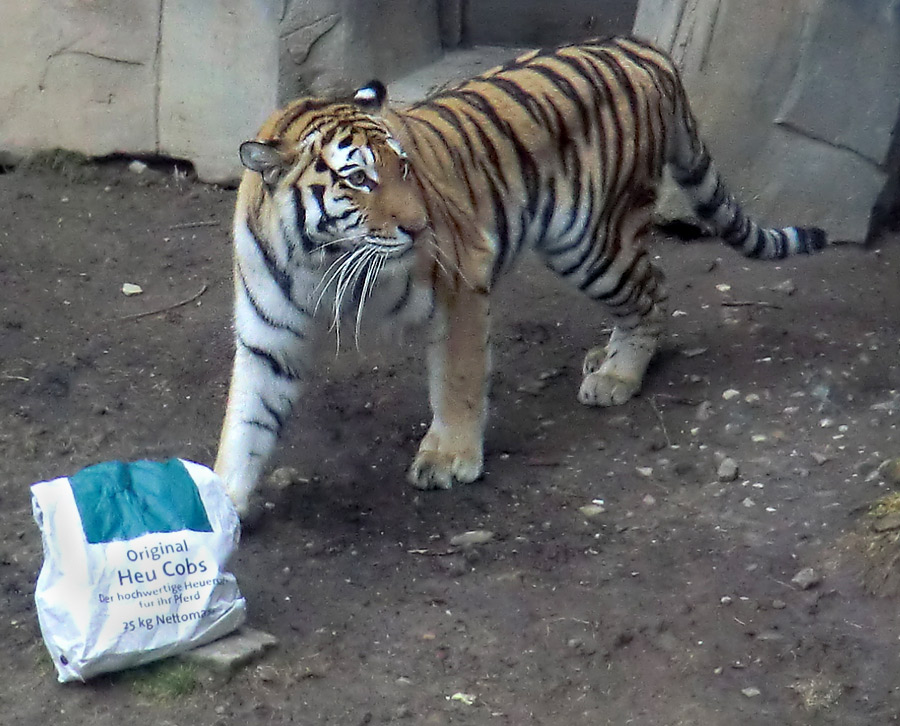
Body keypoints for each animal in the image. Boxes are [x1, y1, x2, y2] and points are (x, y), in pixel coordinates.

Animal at [214, 35, 828, 516]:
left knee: (652, 292)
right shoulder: (269, 336)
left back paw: (617, 375)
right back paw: (603, 357)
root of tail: (646, 49)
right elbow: (247, 421)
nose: (418, 227)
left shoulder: (461, 282)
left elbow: (458, 381)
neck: (317, 259)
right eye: (358, 179)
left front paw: (451, 458)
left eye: (403, 167)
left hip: (589, 242)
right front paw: (220, 502)